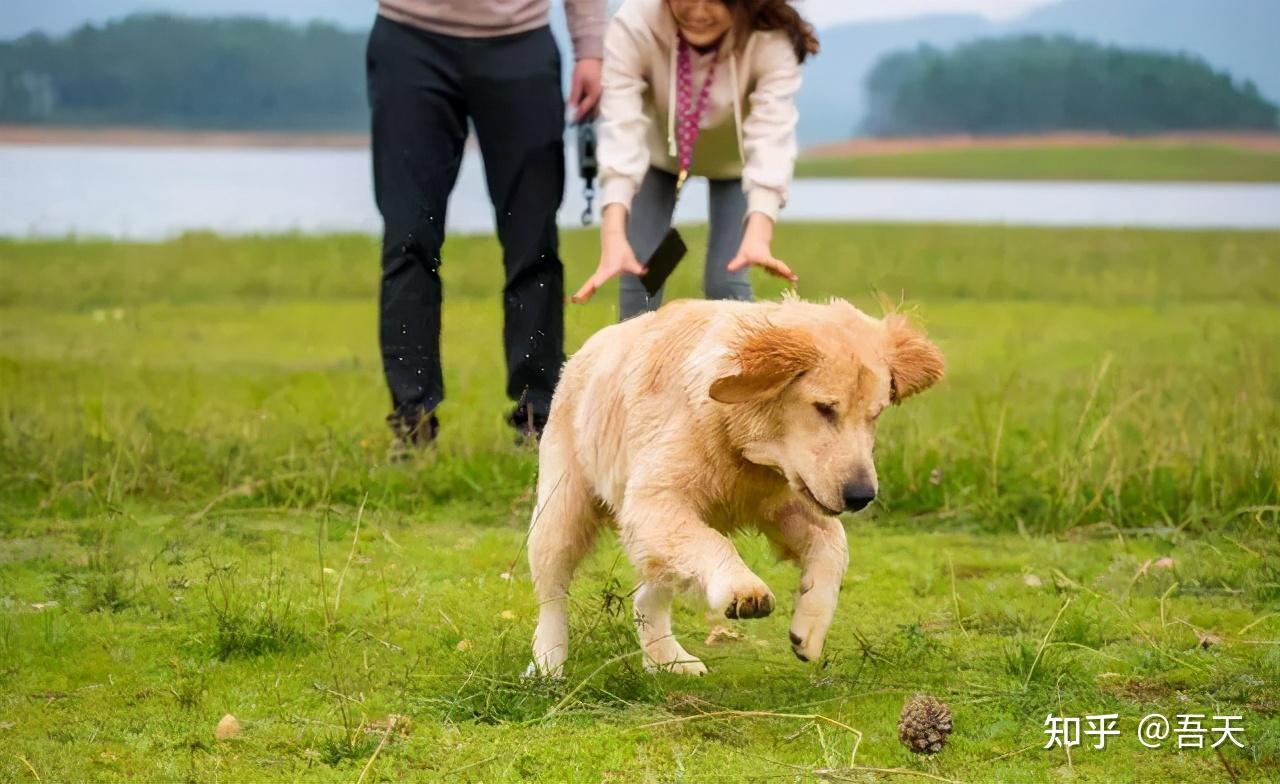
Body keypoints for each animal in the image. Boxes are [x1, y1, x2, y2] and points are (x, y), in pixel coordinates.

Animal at [524, 297, 947, 676]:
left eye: (875, 415)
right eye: (824, 408)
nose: (862, 496)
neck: (744, 449)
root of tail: (587, 350)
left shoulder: (784, 500)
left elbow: (834, 544)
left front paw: (808, 628)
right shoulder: (653, 503)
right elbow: (714, 542)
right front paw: (744, 589)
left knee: (648, 595)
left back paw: (668, 660)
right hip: (562, 510)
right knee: (553, 592)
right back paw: (548, 665)